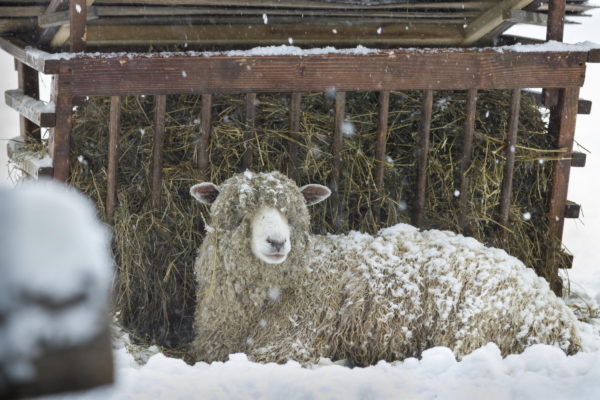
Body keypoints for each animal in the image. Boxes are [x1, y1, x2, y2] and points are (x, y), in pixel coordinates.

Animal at [189, 171, 580, 366]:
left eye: (292, 212)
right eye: (241, 213)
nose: (277, 242)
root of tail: (560, 318)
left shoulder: (290, 345)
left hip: (476, 329)